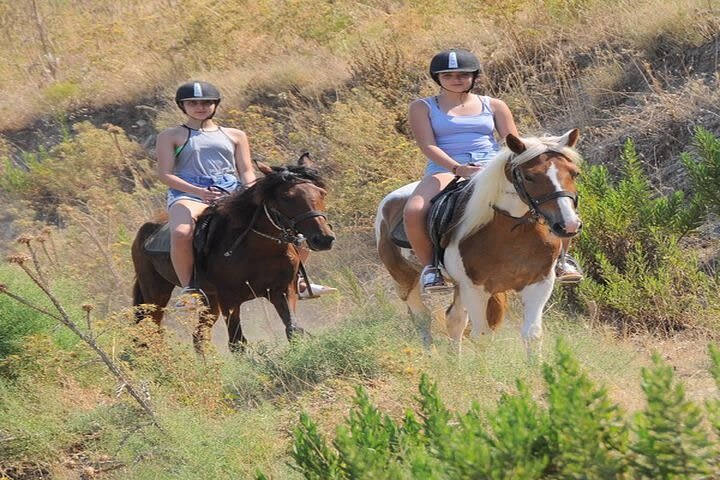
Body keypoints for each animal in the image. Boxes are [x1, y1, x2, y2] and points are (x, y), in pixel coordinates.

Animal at [132, 156, 334, 350]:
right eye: (286, 197)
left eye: (321, 193)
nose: (324, 239)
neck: (261, 250)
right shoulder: (229, 299)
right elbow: (237, 343)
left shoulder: (282, 291)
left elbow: (293, 329)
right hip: (156, 293)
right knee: (152, 332)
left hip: (209, 299)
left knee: (199, 337)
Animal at [374, 129, 584, 354]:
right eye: (529, 176)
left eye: (574, 173)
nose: (568, 224)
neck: (512, 232)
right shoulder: (474, 289)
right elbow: (481, 337)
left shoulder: (539, 283)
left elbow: (532, 335)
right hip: (406, 279)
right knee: (423, 318)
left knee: (454, 321)